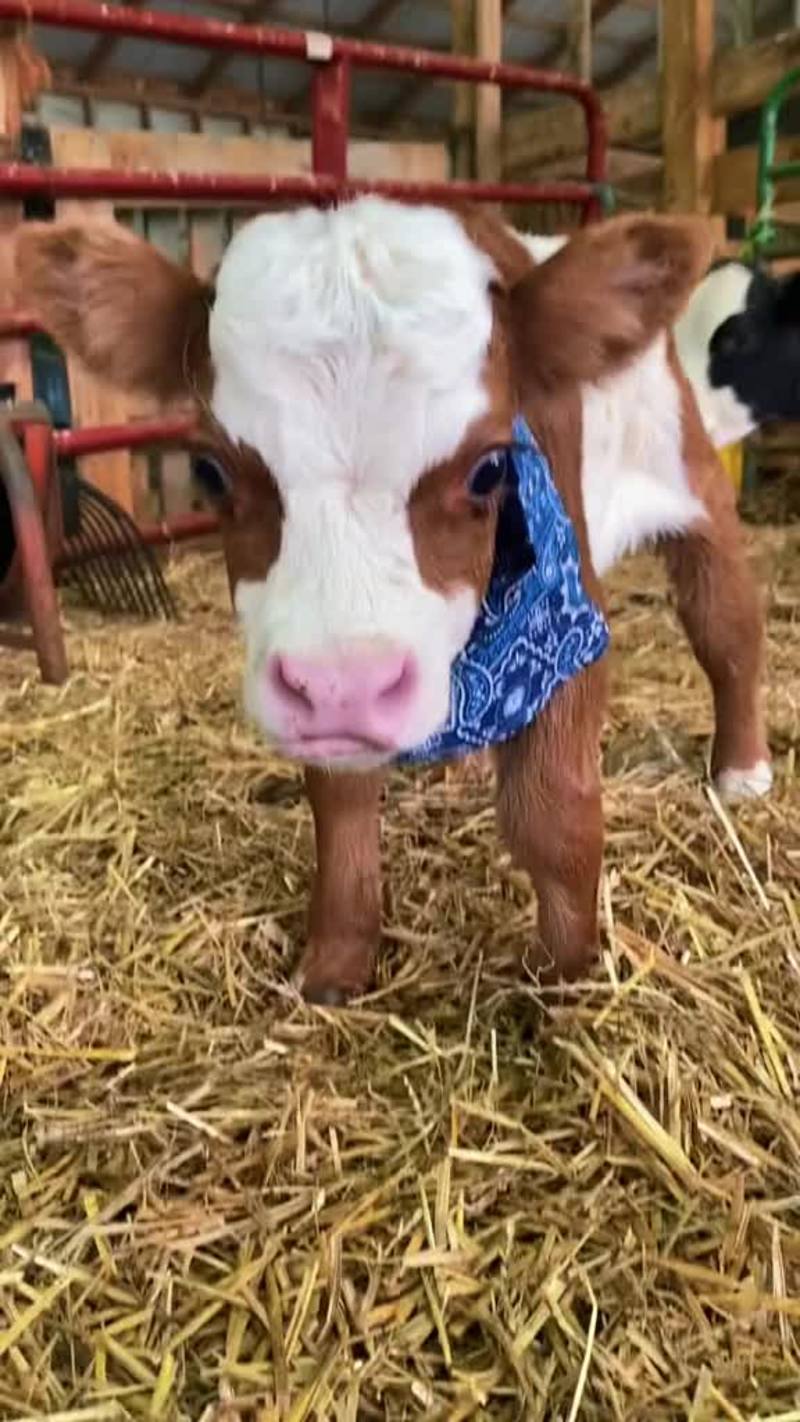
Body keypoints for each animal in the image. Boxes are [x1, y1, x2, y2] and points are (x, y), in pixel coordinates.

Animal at [15, 203, 770, 1003]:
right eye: (211, 471)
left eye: (490, 469)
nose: (344, 689)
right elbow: (342, 809)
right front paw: (334, 967)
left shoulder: (569, 619)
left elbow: (552, 810)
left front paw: (569, 980)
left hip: (692, 483)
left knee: (728, 626)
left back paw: (742, 770)